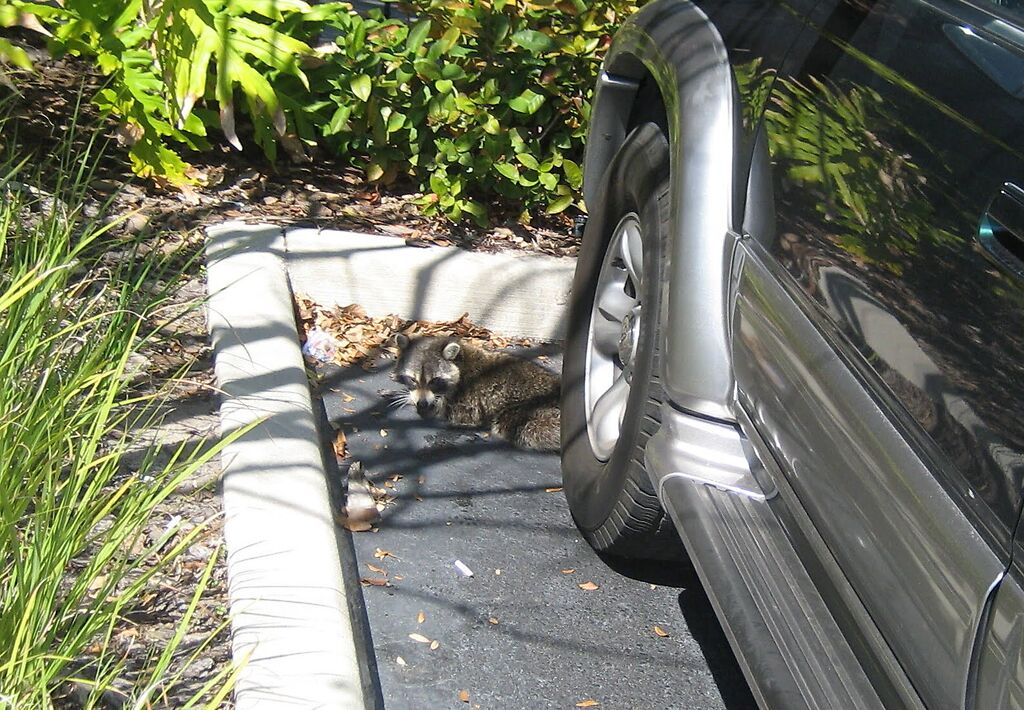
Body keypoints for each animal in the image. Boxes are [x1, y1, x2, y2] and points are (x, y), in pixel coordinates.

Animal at [392, 334, 560, 451]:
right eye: (412, 379)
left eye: (434, 381)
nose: (421, 403)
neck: (460, 360)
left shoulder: (466, 402)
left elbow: (446, 411)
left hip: (532, 414)